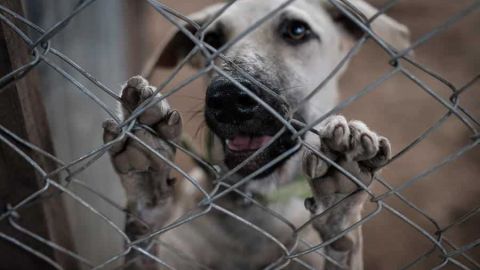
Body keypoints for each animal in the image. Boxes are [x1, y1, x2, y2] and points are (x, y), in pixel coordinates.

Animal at [101, 1, 408, 268]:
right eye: (212, 38)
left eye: (297, 30)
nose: (228, 98)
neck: (255, 202)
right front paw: (146, 183)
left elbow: (344, 247)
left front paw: (339, 208)